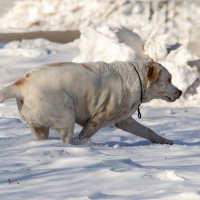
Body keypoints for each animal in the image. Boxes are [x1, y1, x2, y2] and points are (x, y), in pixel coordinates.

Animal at [0, 60, 181, 145]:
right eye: (169, 79)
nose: (180, 92)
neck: (137, 79)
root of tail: (20, 84)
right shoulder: (98, 119)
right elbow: (84, 135)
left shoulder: (124, 120)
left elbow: (148, 131)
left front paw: (166, 141)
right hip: (67, 116)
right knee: (67, 139)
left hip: (40, 126)